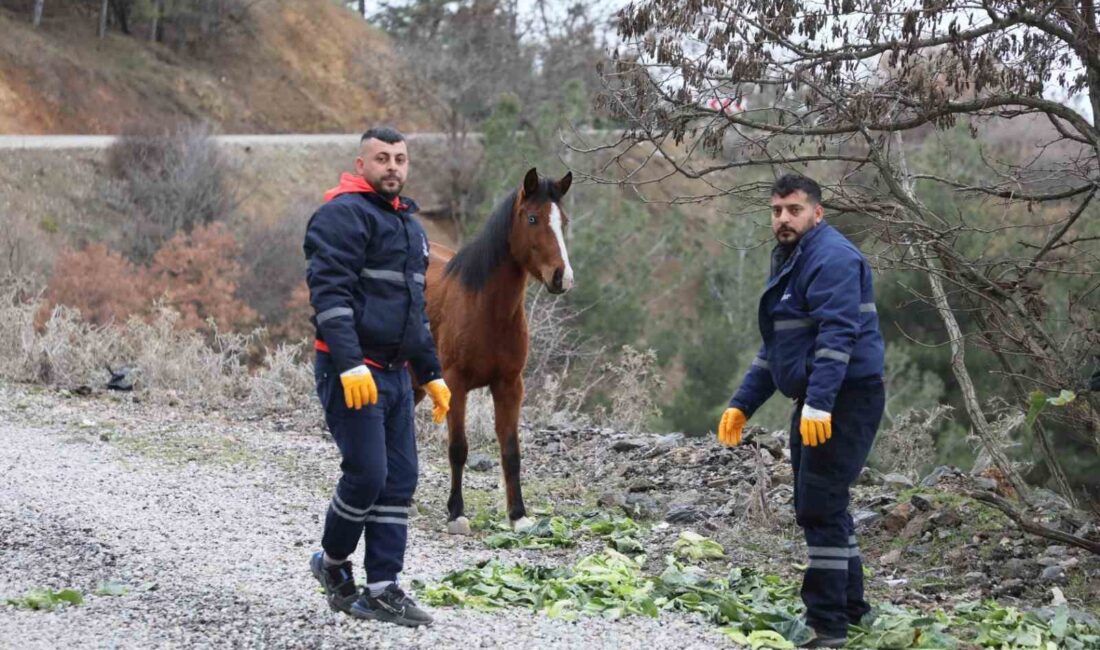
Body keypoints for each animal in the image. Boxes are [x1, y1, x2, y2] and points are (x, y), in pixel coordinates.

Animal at [413, 166, 576, 534]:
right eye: (532, 218)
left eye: (563, 220)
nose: (563, 277)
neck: (485, 309)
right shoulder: (456, 384)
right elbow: (458, 448)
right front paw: (456, 512)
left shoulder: (509, 386)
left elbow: (511, 451)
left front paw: (518, 515)